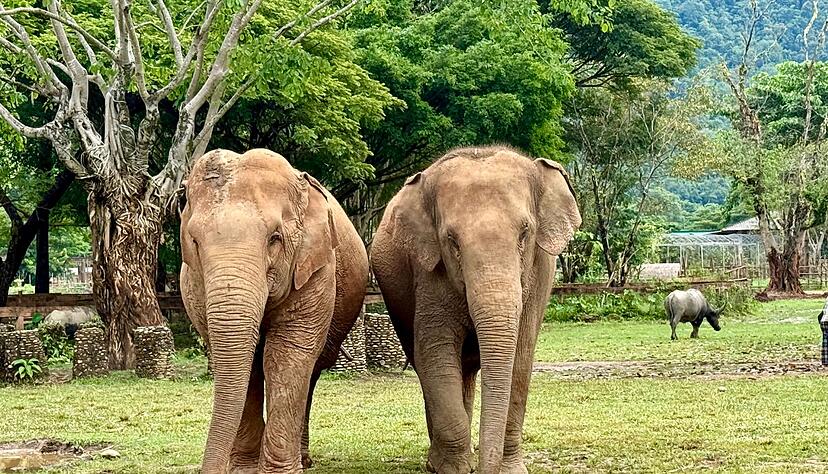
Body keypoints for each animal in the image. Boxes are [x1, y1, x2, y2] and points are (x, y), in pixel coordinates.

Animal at [179, 148, 368, 473]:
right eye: (195, 241)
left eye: (275, 238)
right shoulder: (195, 284)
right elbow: (243, 362)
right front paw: (243, 469)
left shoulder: (316, 269)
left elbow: (286, 355)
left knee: (312, 370)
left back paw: (304, 459)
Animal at [370, 146, 581, 474]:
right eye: (452, 241)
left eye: (525, 233)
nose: (485, 468)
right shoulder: (428, 274)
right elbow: (435, 353)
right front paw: (453, 469)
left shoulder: (539, 275)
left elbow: (521, 359)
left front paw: (511, 470)